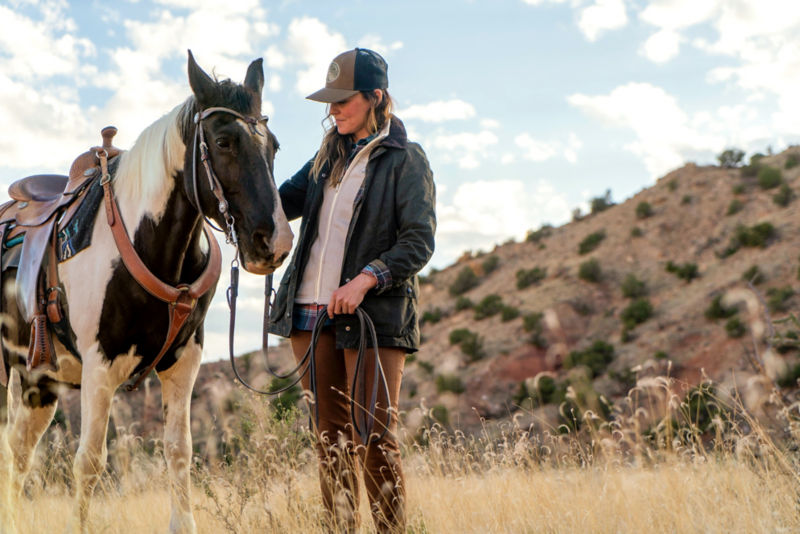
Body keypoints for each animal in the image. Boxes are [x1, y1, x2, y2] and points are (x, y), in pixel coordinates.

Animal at [0, 51, 294, 534]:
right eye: (224, 141)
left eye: (273, 145)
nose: (276, 242)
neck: (149, 245)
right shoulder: (99, 369)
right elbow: (90, 462)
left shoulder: (183, 363)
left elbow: (179, 452)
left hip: (37, 384)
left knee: (17, 459)